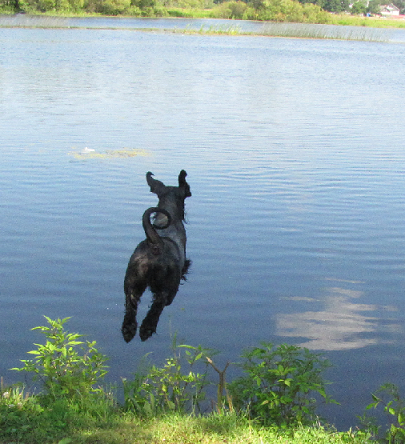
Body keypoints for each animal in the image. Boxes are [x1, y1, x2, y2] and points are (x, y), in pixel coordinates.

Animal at [121, 172, 191, 342]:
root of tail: (155, 243)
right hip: (169, 287)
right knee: (158, 304)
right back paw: (146, 329)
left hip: (131, 282)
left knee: (130, 304)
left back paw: (129, 330)